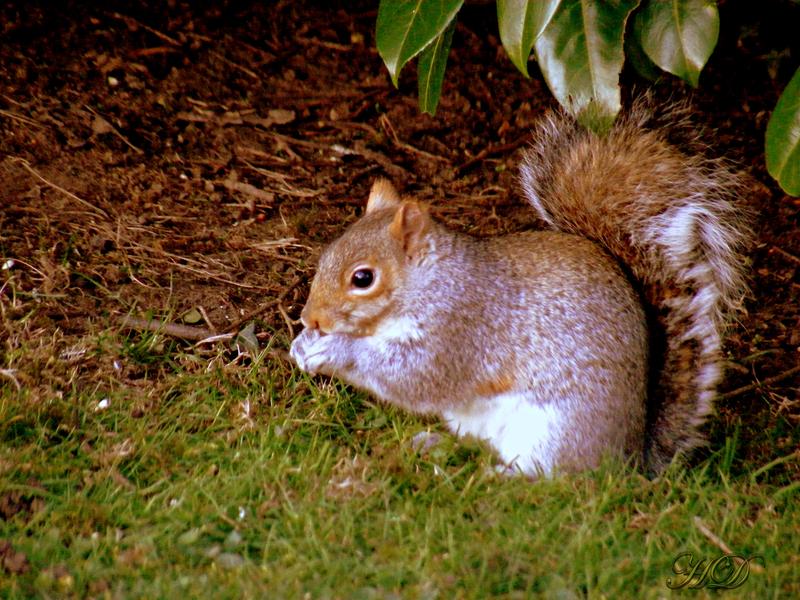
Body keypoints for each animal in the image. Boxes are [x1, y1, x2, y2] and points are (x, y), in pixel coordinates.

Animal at [289, 101, 750, 476]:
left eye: (362, 278)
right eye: (327, 252)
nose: (310, 317)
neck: (432, 282)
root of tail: (628, 459)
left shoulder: (461, 329)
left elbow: (415, 378)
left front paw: (336, 351)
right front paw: (302, 345)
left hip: (557, 431)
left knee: (552, 478)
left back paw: (500, 477)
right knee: (475, 445)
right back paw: (436, 445)